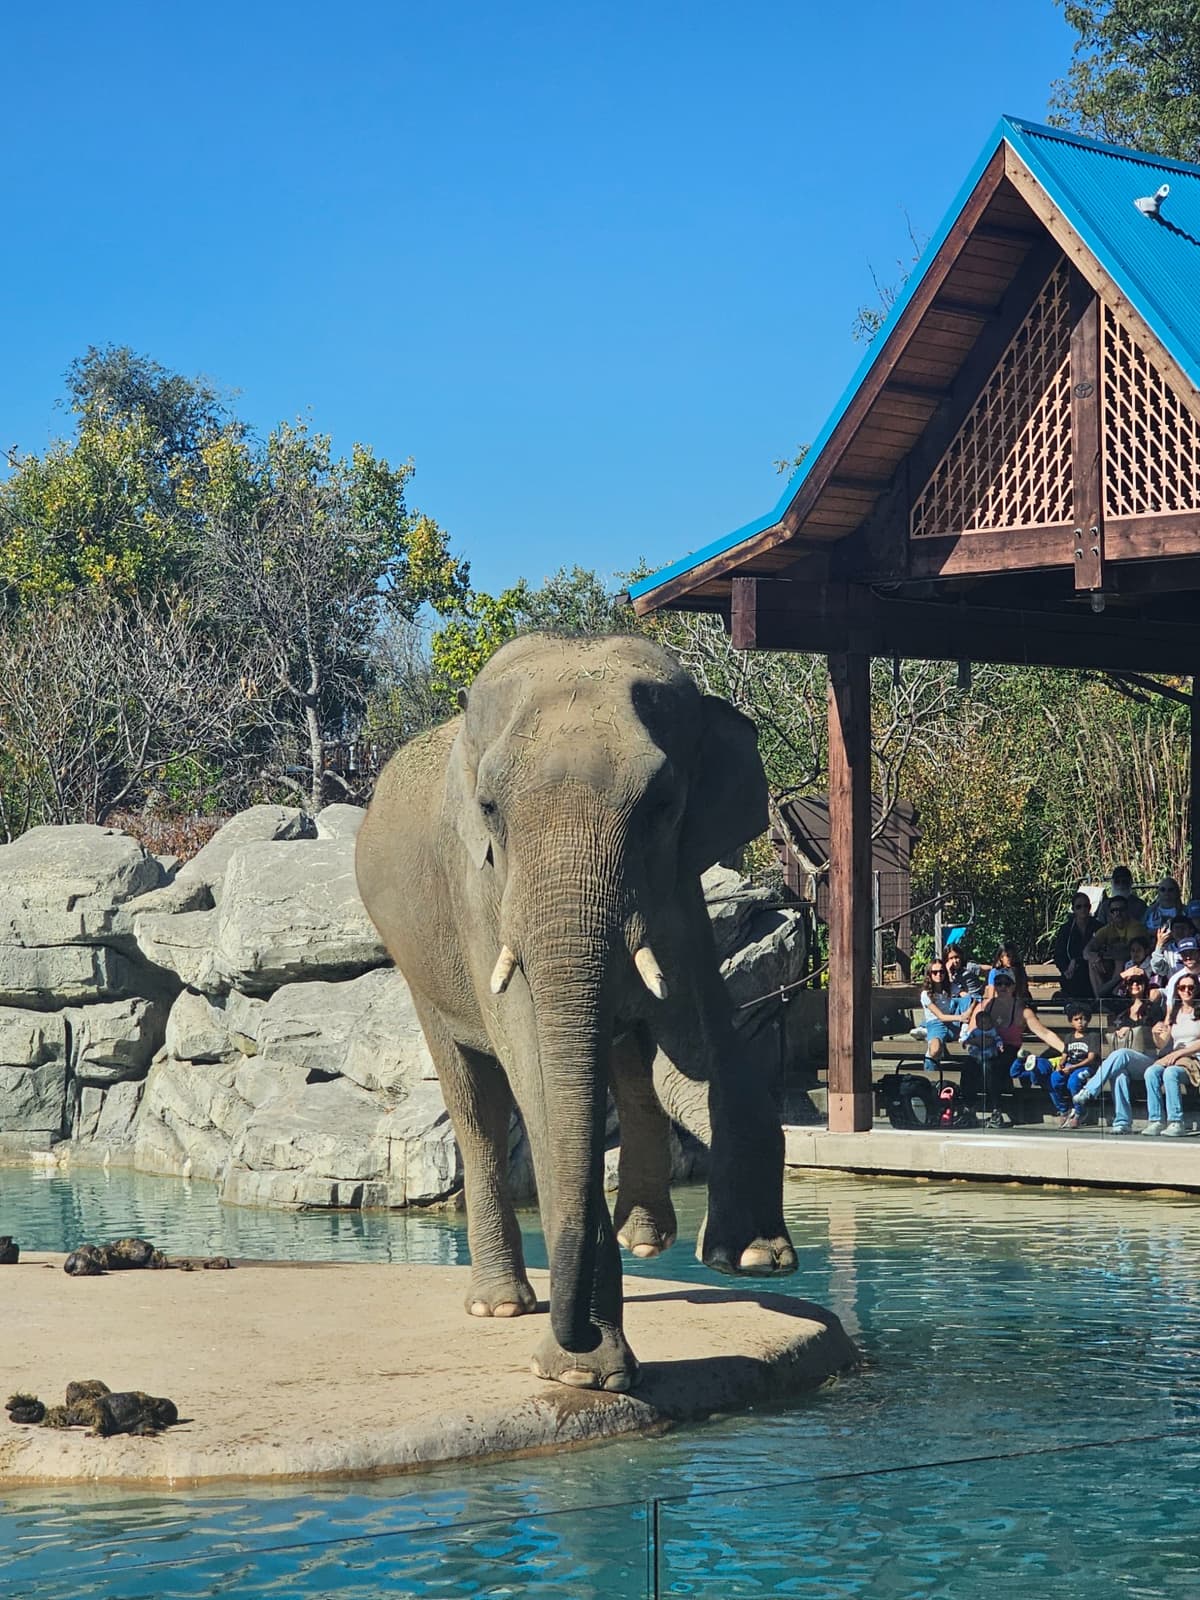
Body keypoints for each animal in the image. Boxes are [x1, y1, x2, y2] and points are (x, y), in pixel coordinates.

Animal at [355, 633, 796, 1393]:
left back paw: (646, 1240)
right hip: (418, 965)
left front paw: (753, 1259)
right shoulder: (482, 896)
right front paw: (584, 1375)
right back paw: (501, 1306)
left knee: (630, 1059)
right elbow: (538, 1072)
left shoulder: (675, 882)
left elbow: (700, 1045)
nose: (578, 1334)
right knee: (476, 1099)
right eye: (489, 807)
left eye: (662, 804)